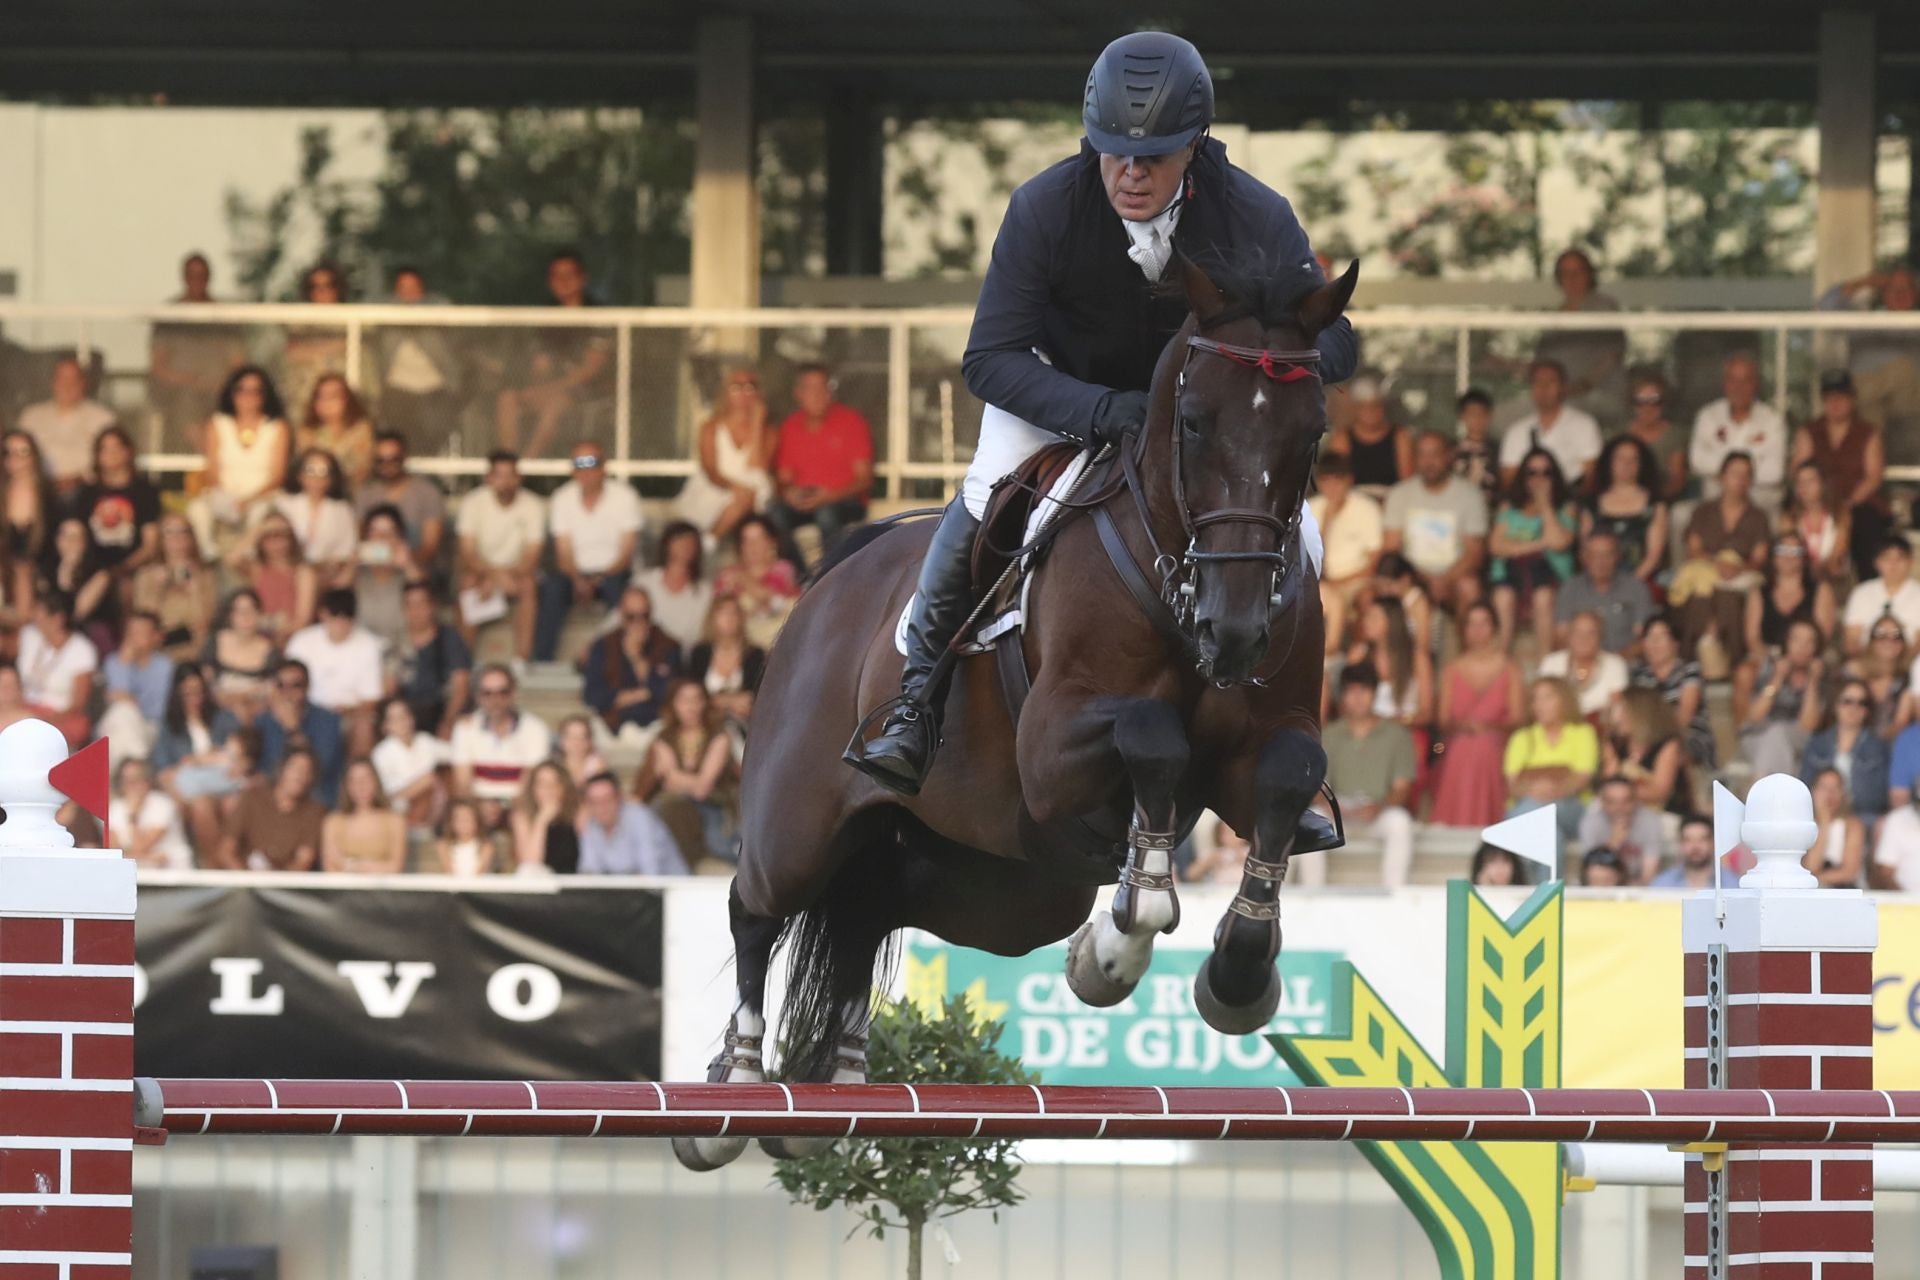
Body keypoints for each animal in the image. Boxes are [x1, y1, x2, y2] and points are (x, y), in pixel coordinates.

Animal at [668, 249, 1359, 1174]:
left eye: (1310, 434)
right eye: (1194, 424)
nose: (1238, 629)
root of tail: (825, 583)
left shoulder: (1259, 748)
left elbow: (1287, 776)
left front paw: (1229, 973)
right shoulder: (1054, 749)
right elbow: (1153, 735)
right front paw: (1130, 929)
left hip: (1005, 884)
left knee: (869, 911)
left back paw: (840, 1086)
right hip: (802, 823)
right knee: (758, 905)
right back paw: (733, 1091)